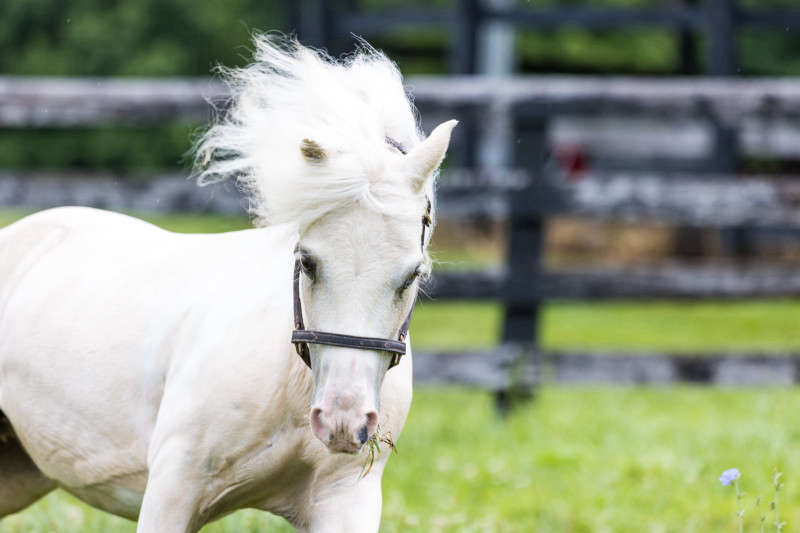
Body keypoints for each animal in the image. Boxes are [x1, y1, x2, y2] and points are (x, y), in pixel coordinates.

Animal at [0, 35, 456, 528]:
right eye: (308, 262)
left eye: (412, 274)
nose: (340, 421)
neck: (290, 385)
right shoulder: (172, 490)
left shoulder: (345, 497)